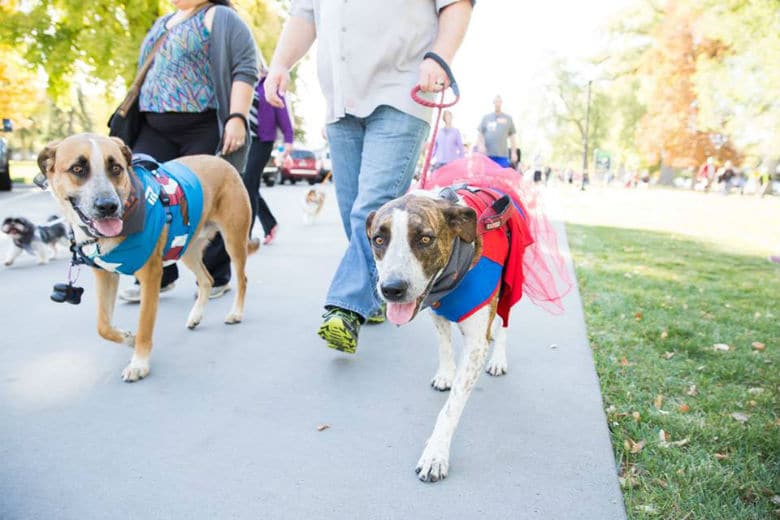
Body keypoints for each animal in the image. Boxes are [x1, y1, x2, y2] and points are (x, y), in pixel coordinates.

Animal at [38, 134, 258, 382]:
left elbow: (144, 324)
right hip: (186, 248)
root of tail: (221, 160)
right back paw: (195, 316)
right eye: (77, 168)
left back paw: (235, 313)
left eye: (116, 168)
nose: (108, 206)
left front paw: (139, 363)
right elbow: (102, 326)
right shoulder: (105, 275)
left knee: (241, 279)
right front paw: (128, 338)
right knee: (206, 280)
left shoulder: (151, 276)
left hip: (233, 241)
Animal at [368, 192, 512, 484]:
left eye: (425, 239)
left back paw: (498, 358)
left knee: (503, 321)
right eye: (378, 239)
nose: (392, 289)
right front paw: (446, 374)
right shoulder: (436, 307)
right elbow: (444, 345)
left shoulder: (475, 345)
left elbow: (450, 409)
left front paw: (435, 455)